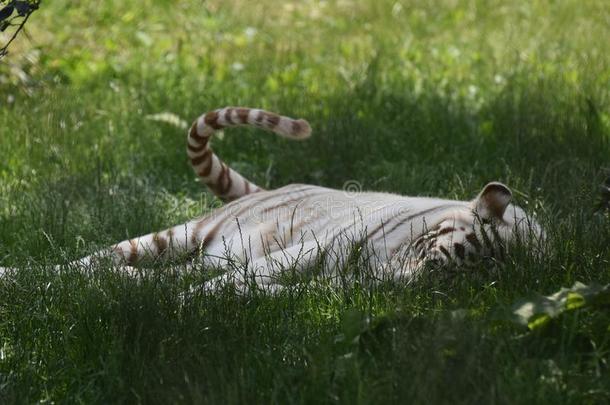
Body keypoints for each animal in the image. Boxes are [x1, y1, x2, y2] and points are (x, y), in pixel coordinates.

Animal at [0, 107, 544, 290]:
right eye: (435, 262)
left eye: (446, 283)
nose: (392, 286)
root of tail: (272, 187)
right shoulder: (308, 250)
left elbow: (247, 288)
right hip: (175, 235)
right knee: (85, 262)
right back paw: (25, 277)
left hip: (201, 254)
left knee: (146, 276)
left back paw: (134, 288)